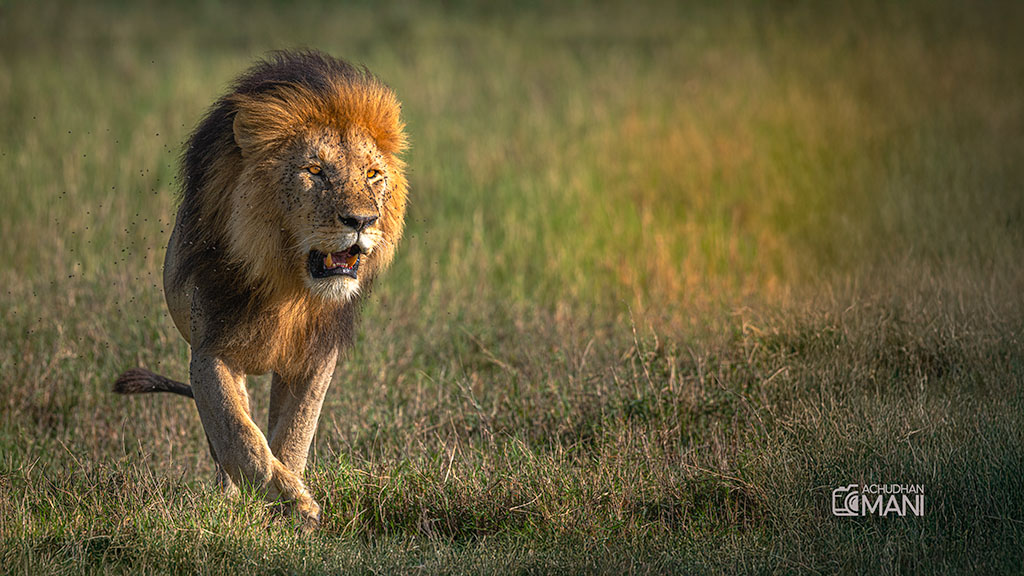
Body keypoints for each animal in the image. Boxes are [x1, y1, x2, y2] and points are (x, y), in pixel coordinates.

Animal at [113, 50, 408, 531]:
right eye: (315, 172)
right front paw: (291, 500)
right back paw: (229, 498)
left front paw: (293, 507)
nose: (362, 221)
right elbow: (242, 439)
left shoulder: (315, 357)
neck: (286, 284)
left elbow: (292, 436)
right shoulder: (209, 352)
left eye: (372, 175)